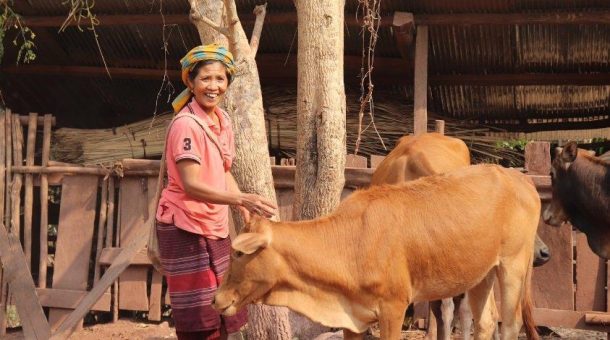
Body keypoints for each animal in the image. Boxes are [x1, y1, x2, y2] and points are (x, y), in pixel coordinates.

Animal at [213, 163, 536, 338]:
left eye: (238, 254)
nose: (216, 299)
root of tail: (520, 178)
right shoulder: (351, 317)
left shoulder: (393, 307)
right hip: (483, 273)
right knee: (486, 322)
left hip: (513, 266)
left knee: (510, 324)